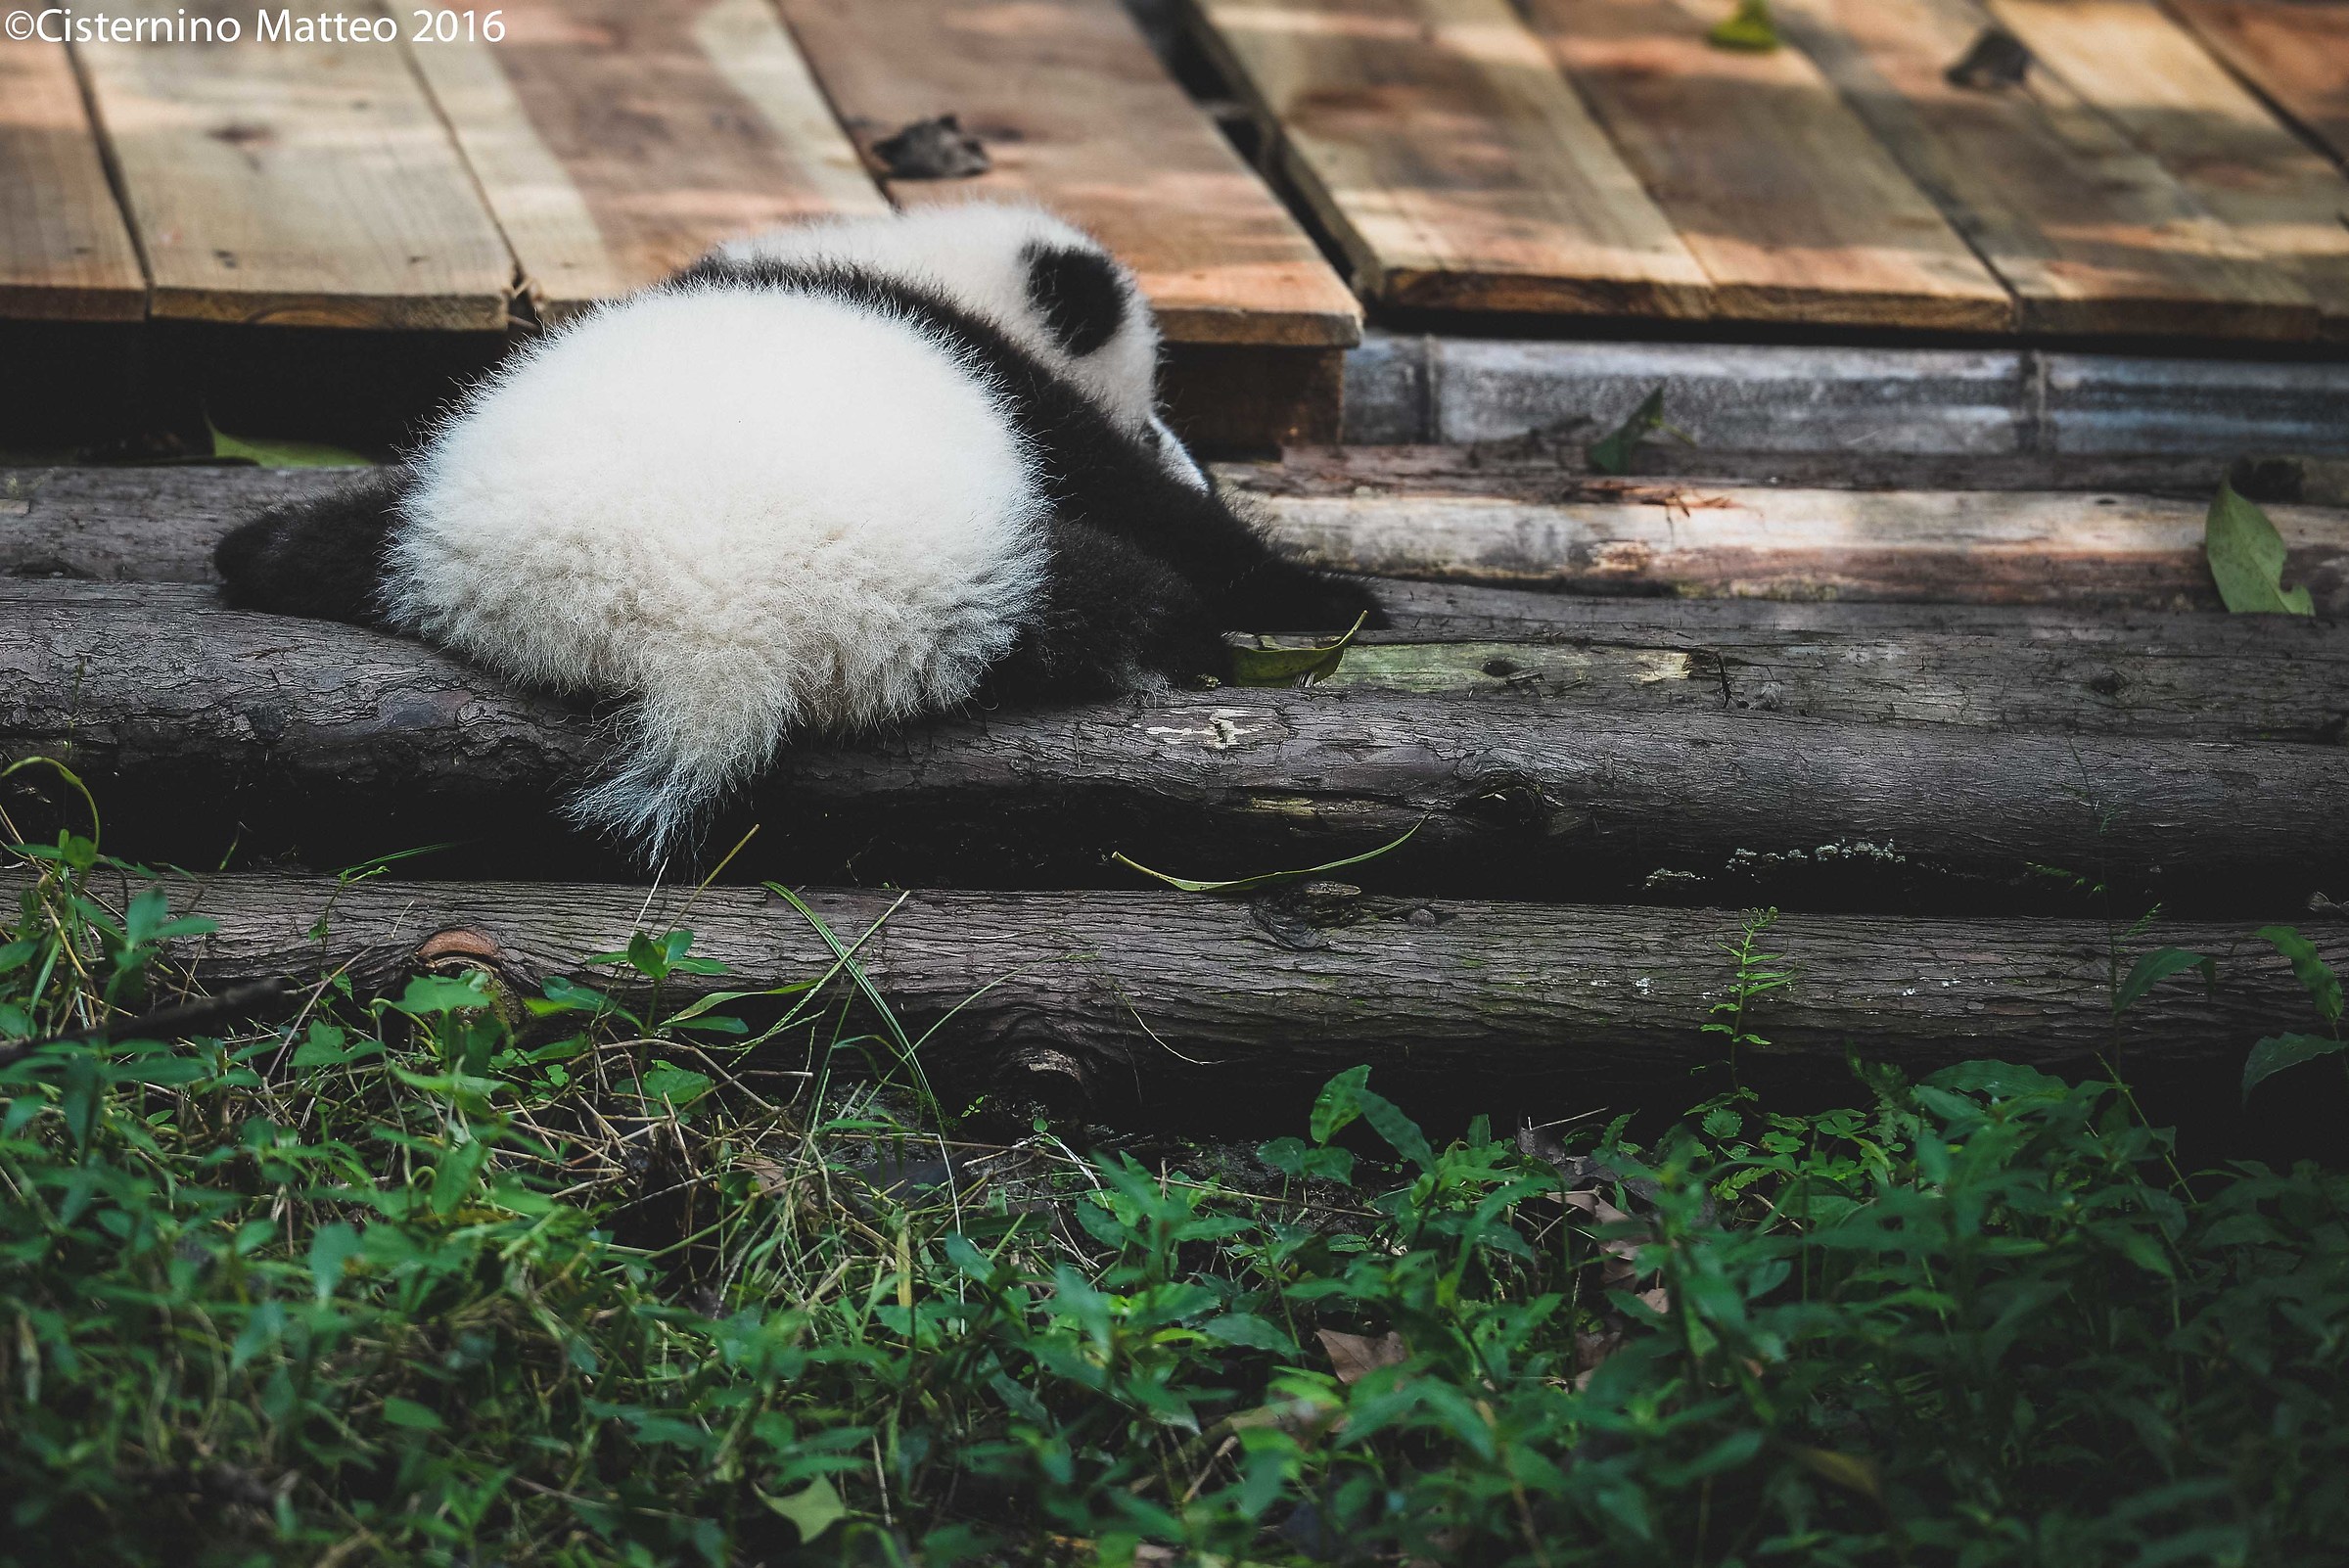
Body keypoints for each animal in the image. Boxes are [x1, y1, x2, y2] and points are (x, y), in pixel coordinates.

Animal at [212, 201, 1381, 863]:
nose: (1183, 445)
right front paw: (1323, 592)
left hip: (454, 518)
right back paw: (1179, 642)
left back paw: (263, 555)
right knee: (1110, 590)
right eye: (1150, 410)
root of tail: (710, 630)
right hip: (963, 573)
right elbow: (1156, 513)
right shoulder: (1004, 380)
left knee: (355, 532)